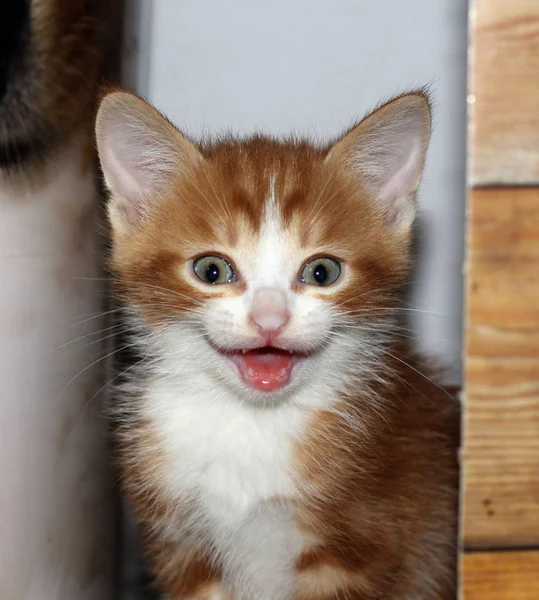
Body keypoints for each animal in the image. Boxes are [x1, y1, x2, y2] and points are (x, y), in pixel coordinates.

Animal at [97, 86, 460, 596]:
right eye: (211, 270)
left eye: (322, 271)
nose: (270, 318)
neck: (248, 421)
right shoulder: (181, 546)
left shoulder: (362, 545)